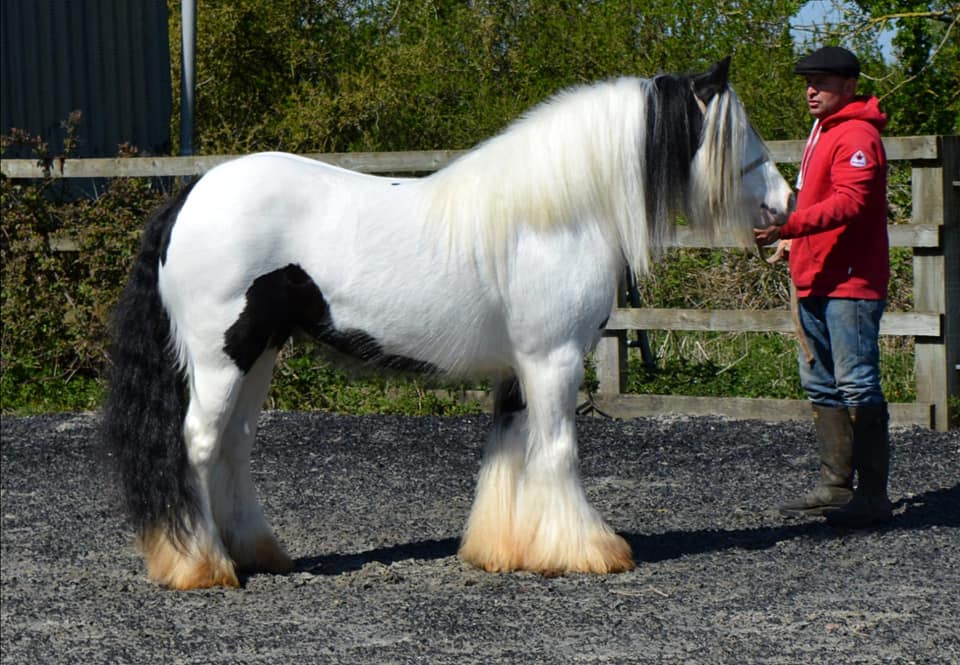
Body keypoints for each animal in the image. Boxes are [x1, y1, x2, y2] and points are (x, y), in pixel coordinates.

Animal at [103, 57, 794, 589]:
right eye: (738, 133)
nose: (784, 204)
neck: (555, 215)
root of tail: (189, 198)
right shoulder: (554, 359)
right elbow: (557, 451)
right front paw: (586, 551)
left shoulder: (521, 368)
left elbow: (511, 451)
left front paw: (503, 551)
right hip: (222, 358)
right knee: (198, 443)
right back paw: (204, 567)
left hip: (261, 354)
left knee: (233, 445)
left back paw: (252, 554)